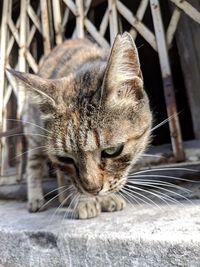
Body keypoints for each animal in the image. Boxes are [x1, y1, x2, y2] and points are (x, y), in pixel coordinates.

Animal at [7, 31, 152, 220]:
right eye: (65, 159)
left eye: (112, 150)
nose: (93, 190)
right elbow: (71, 179)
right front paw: (84, 201)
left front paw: (105, 198)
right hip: (33, 133)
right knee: (34, 164)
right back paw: (37, 199)